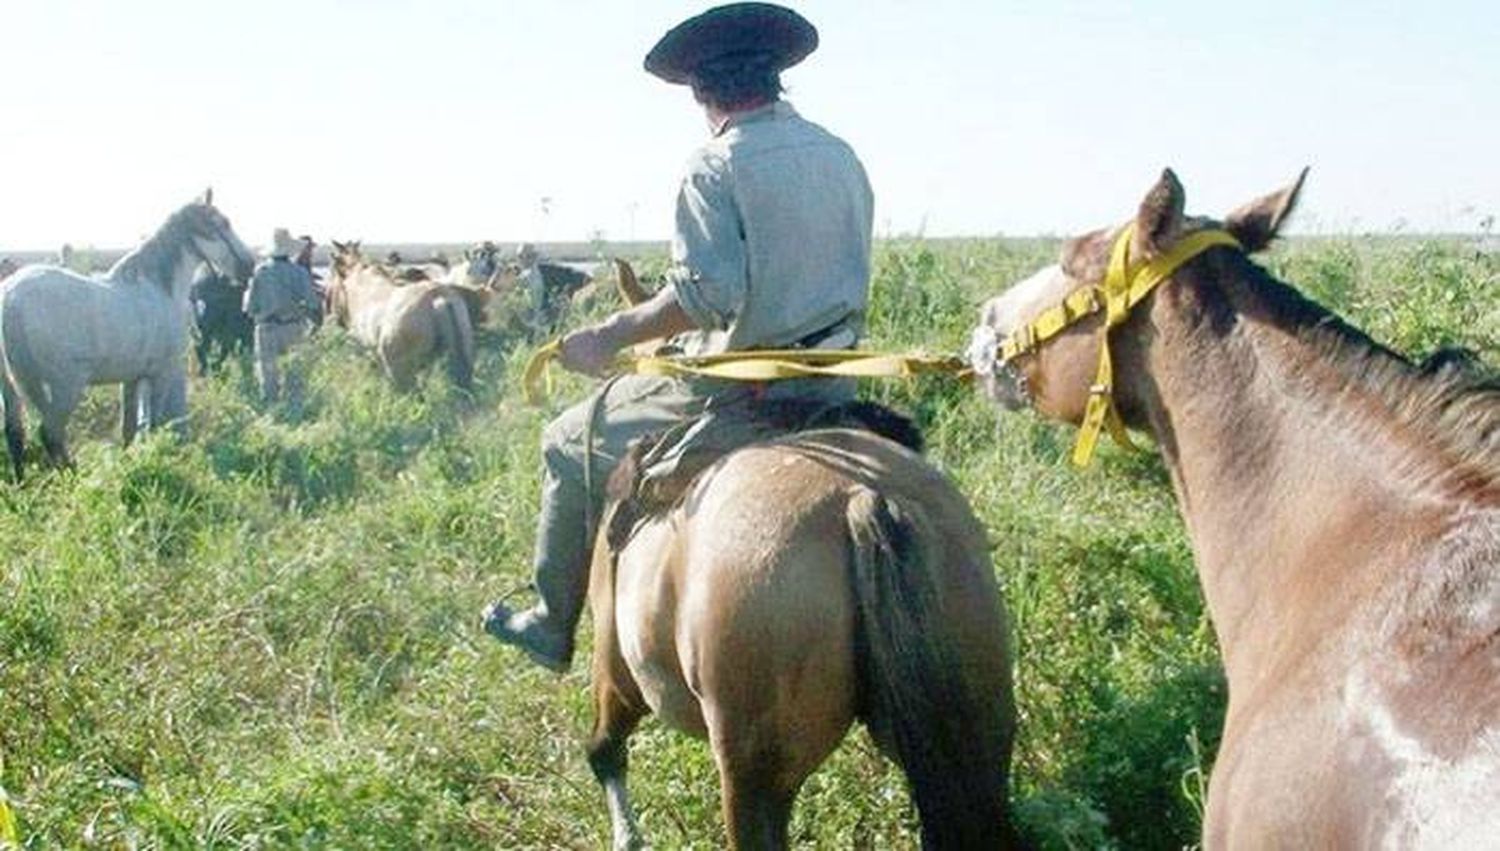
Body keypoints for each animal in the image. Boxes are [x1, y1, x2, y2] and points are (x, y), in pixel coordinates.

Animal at [0, 190, 253, 480]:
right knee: (50, 433)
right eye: (221, 224)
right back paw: (73, 476)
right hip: (66, 386)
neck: (158, 288)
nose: (249, 265)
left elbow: (129, 429)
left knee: (15, 434)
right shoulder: (161, 373)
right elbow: (154, 423)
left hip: (10, 388)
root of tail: (10, 298)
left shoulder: (132, 378)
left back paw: (22, 482)